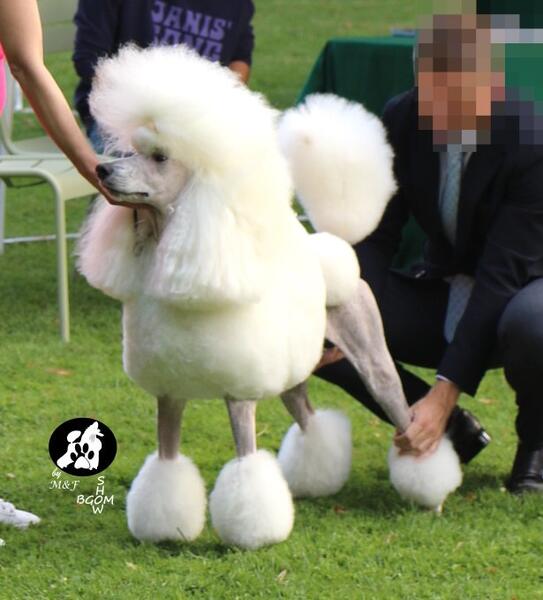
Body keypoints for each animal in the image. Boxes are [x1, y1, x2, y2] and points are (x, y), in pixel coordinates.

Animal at [77, 45, 461, 549]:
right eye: (132, 151)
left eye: (159, 157)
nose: (101, 169)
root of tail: (333, 250)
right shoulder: (170, 392)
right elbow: (167, 463)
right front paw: (164, 529)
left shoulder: (239, 395)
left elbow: (247, 469)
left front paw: (253, 535)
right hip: (294, 372)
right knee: (311, 420)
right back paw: (317, 480)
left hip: (373, 360)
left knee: (405, 420)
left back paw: (431, 494)